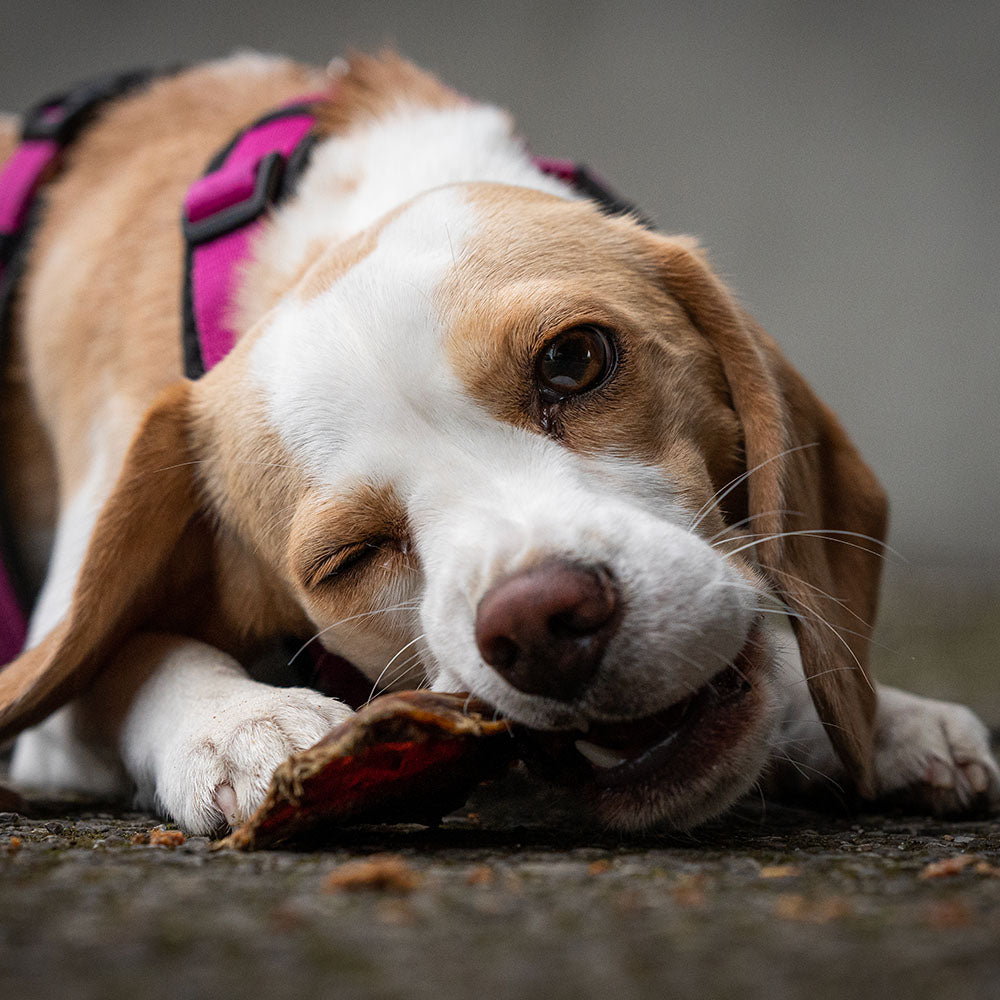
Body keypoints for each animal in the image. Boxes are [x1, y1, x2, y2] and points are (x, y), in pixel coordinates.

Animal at [1, 54, 1000, 836]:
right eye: (348, 558)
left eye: (575, 358)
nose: (541, 622)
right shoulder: (54, 671)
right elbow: (133, 660)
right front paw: (244, 724)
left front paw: (884, 721)